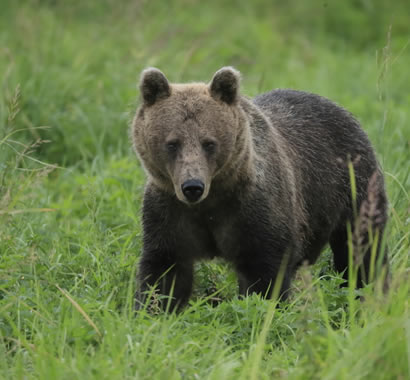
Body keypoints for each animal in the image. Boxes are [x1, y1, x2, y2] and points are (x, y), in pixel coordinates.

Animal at [132, 67, 390, 312]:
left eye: (209, 143)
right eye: (172, 143)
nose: (192, 186)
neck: (213, 200)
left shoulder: (255, 209)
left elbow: (265, 272)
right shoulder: (169, 212)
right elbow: (165, 270)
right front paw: (153, 309)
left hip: (353, 188)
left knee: (361, 251)